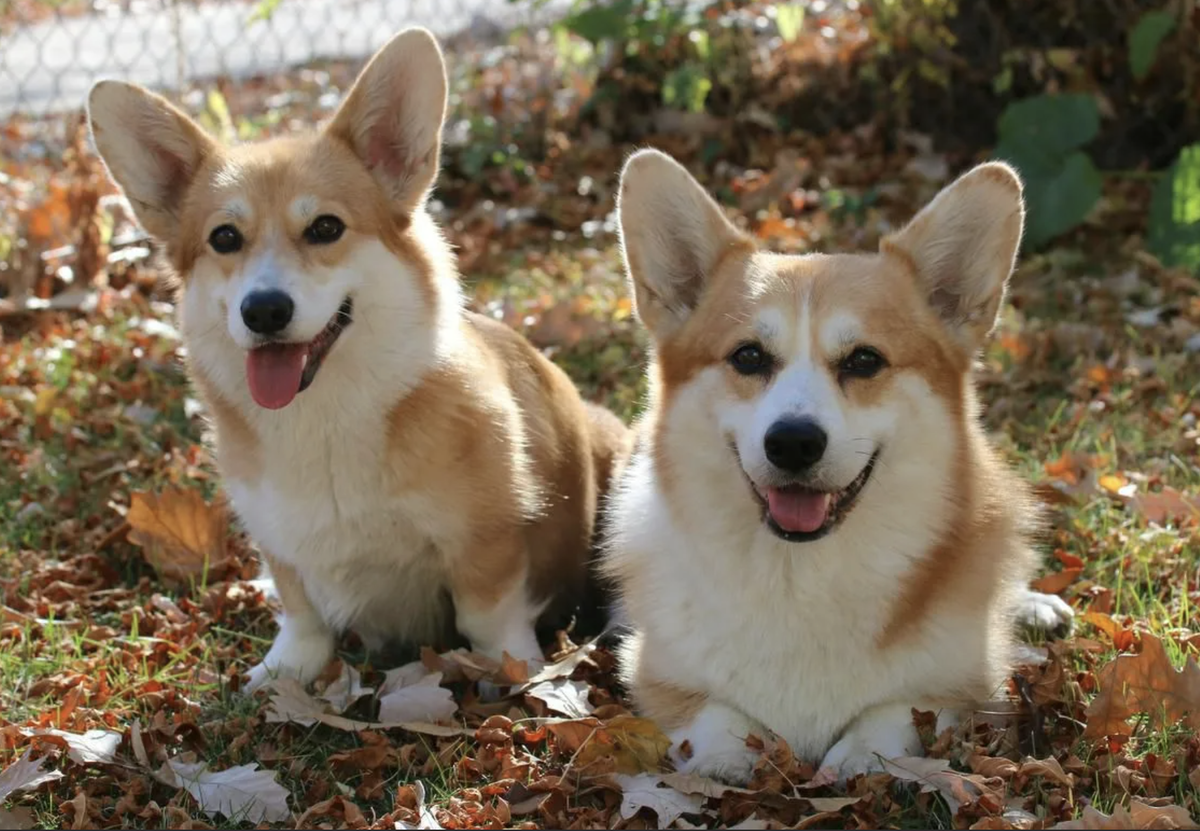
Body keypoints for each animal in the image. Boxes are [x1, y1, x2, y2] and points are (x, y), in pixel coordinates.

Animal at [88, 25, 633, 691]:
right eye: (224, 238)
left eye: (325, 228)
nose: (263, 310)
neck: (323, 418)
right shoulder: (280, 539)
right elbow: (302, 615)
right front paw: (285, 672)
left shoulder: (487, 539)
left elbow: (487, 616)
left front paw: (514, 672)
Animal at [604, 150, 1075, 787]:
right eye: (748, 356)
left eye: (864, 360)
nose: (794, 443)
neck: (800, 574)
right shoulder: (655, 672)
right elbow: (716, 717)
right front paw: (735, 756)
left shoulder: (961, 686)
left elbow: (895, 714)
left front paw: (859, 758)